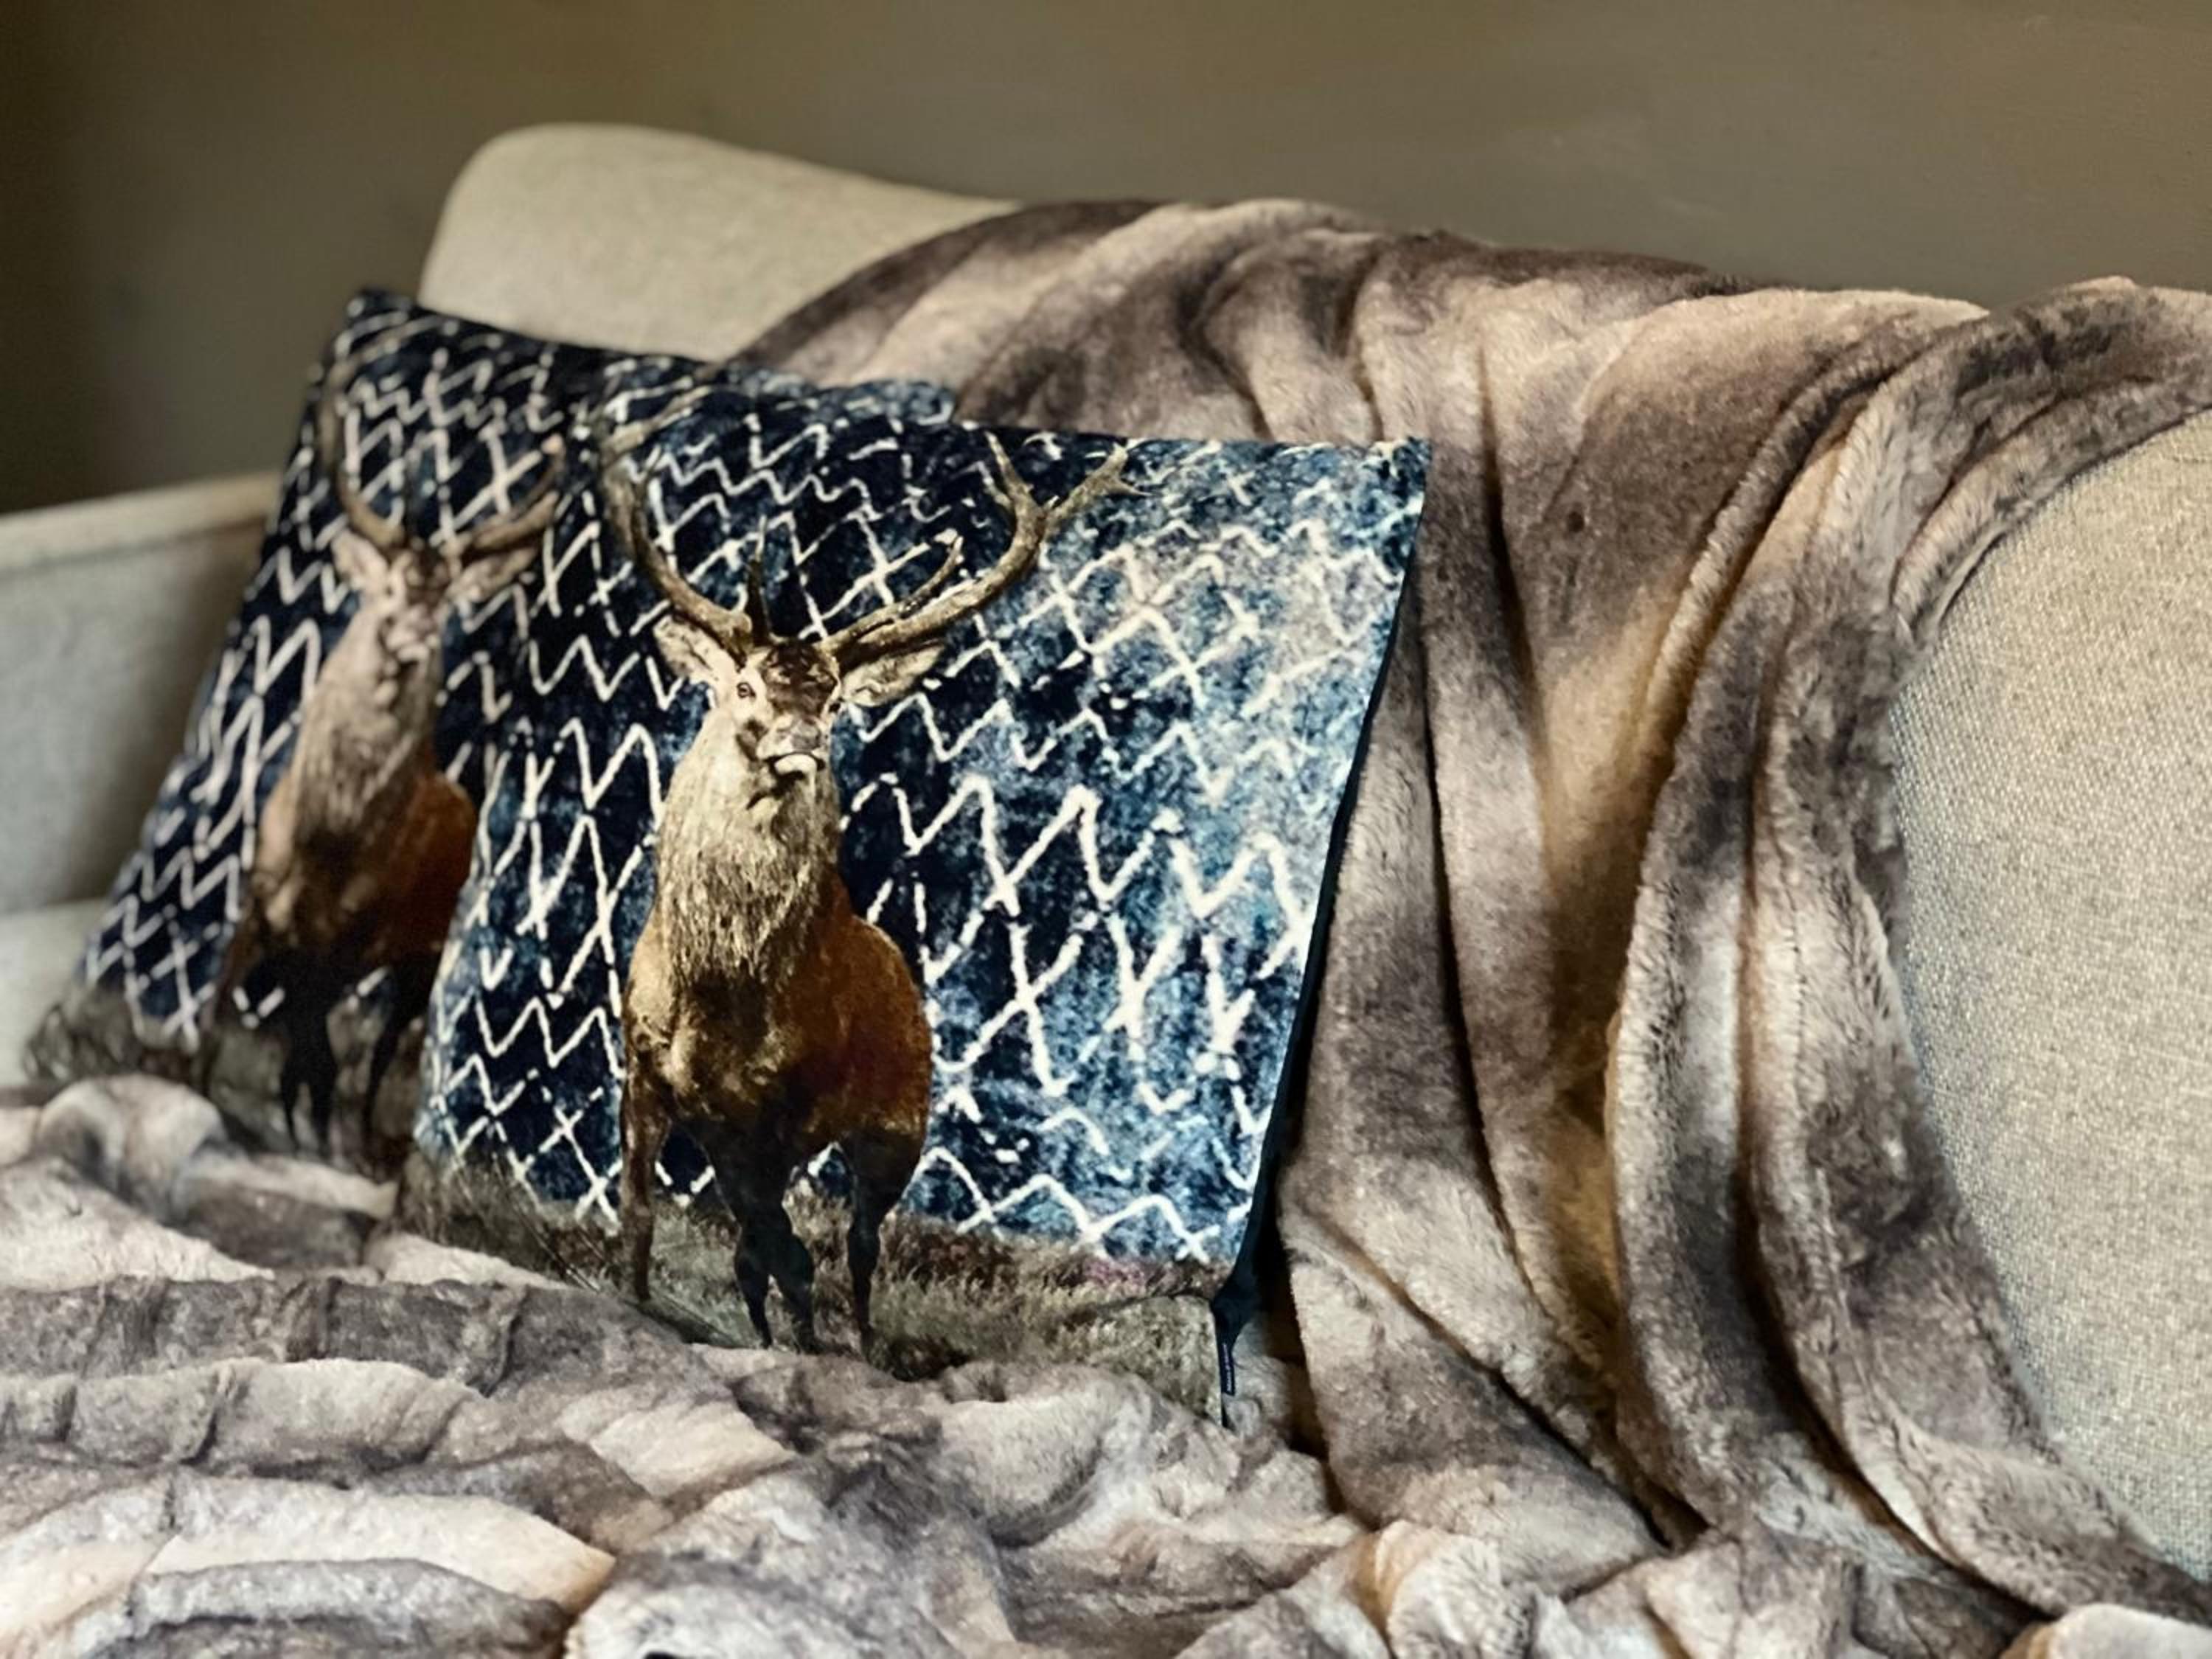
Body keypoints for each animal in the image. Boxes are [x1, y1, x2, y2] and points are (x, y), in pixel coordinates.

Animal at [200, 331, 564, 1155]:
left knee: (371, 1062)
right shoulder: (257, 914)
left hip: (416, 964)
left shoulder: (345, 944)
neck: (324, 841)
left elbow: (315, 1067)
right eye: (391, 587)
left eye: (448, 596)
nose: (418, 628)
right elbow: (213, 1032)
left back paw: (361, 1146)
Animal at [598, 390, 1133, 1351]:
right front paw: (644, 1305)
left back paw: (860, 1337)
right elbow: (647, 1220)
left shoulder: (783, 1109)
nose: (803, 743)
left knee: (858, 1245)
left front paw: (804, 1347)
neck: (715, 990)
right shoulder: (647, 1076)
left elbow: (783, 1251)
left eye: (837, 700)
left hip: (898, 1125)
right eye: (744, 688)